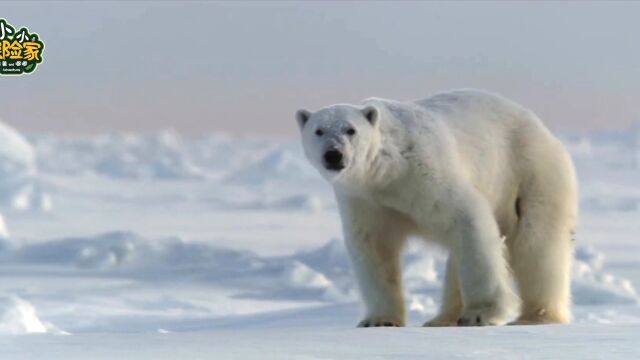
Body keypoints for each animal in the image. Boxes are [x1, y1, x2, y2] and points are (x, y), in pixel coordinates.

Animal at [298, 89, 576, 326]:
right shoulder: (365, 199)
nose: (333, 154)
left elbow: (468, 220)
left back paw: (537, 315)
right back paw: (441, 319)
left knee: (538, 244)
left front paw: (480, 314)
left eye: (350, 130)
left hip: (531, 175)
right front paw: (379, 320)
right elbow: (374, 249)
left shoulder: (425, 174)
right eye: (319, 130)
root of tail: (541, 128)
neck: (387, 171)